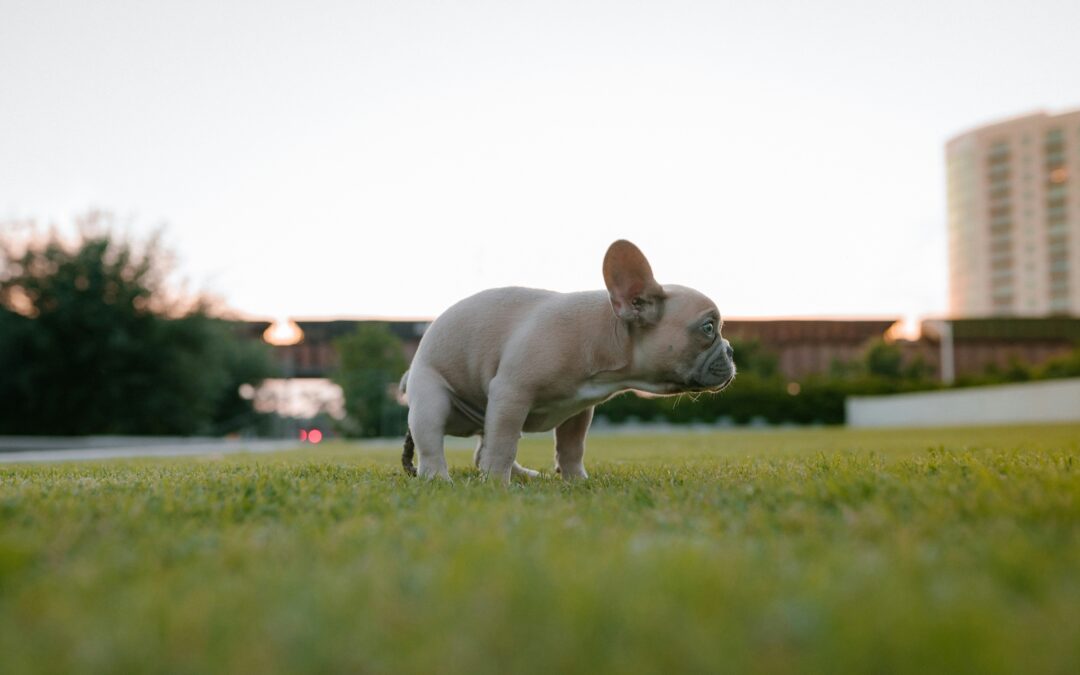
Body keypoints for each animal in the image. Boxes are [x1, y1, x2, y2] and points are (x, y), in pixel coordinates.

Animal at [401, 239, 738, 481]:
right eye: (708, 328)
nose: (731, 351)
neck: (608, 333)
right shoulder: (512, 393)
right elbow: (503, 445)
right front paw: (496, 483)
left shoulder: (578, 409)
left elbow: (571, 447)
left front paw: (577, 480)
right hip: (432, 399)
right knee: (433, 443)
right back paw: (439, 478)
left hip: (487, 412)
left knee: (484, 444)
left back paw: (522, 475)